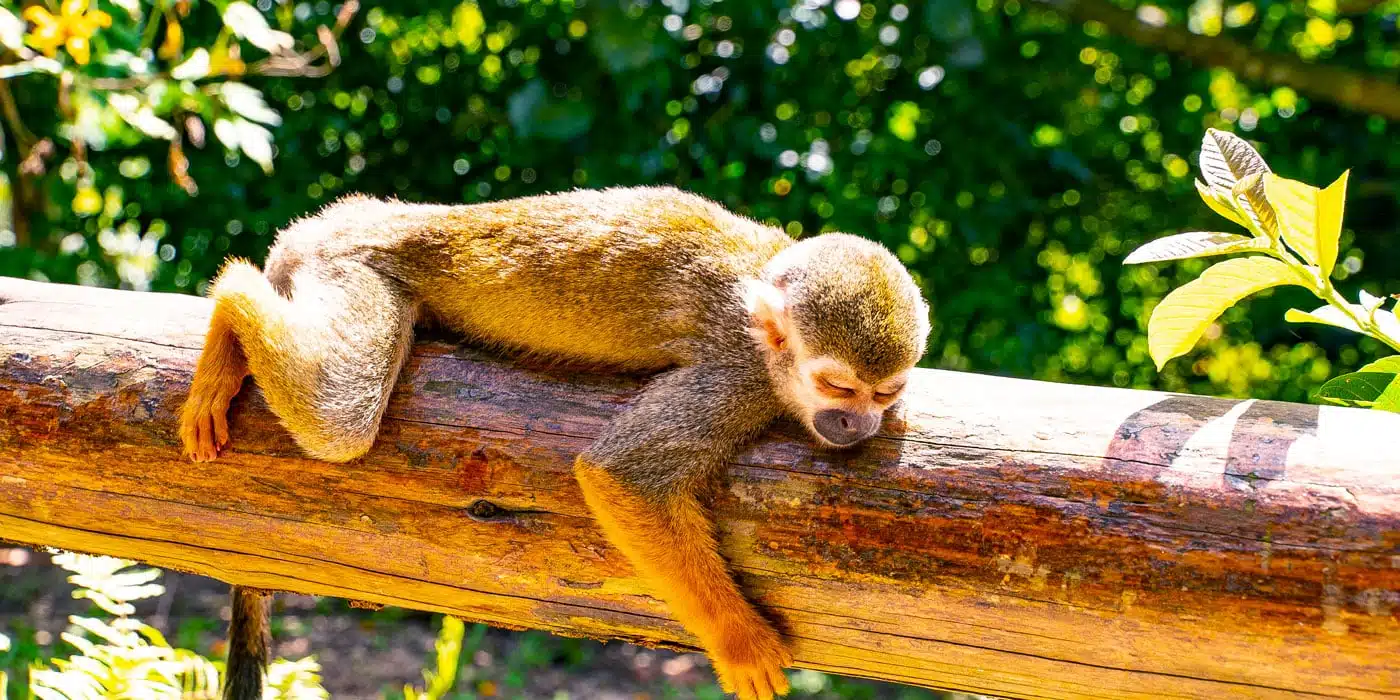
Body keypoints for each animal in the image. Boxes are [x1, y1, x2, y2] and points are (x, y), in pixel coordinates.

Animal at [179, 186, 930, 700]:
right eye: (836, 387)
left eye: (883, 393)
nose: (857, 426)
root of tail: (334, 220)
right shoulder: (739, 372)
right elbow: (621, 475)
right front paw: (738, 640)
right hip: (349, 264)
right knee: (338, 418)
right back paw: (232, 296)